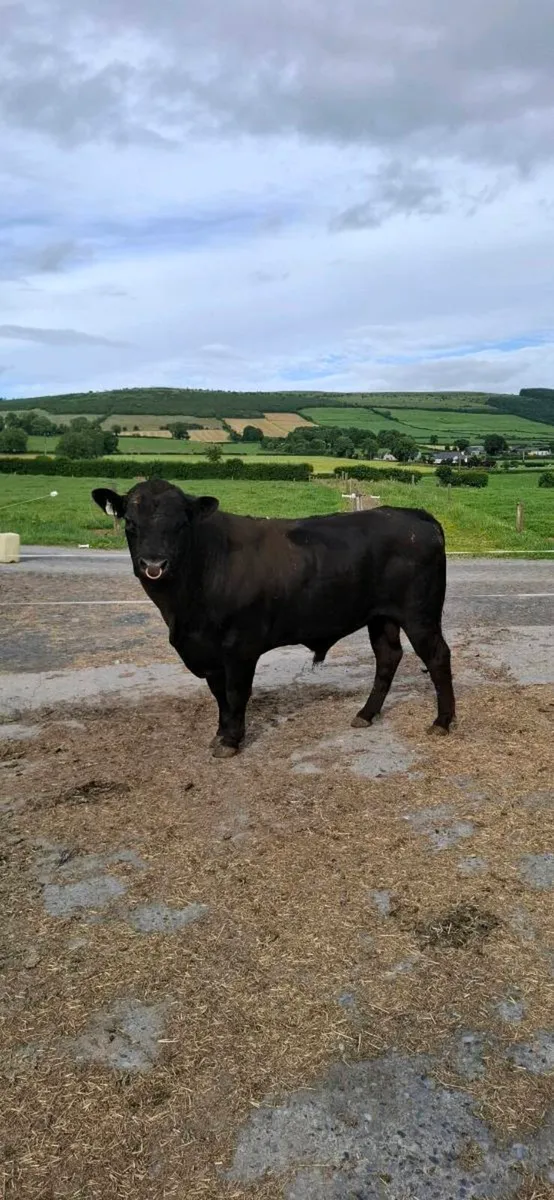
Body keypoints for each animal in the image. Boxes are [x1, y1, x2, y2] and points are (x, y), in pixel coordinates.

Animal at [92, 480, 455, 758]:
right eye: (130, 524)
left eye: (181, 524)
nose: (153, 564)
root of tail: (413, 515)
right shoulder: (208, 651)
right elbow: (218, 694)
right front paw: (220, 733)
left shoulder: (240, 645)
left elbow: (236, 692)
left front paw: (231, 740)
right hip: (381, 617)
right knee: (388, 657)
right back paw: (366, 714)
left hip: (420, 614)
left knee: (437, 656)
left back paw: (442, 722)